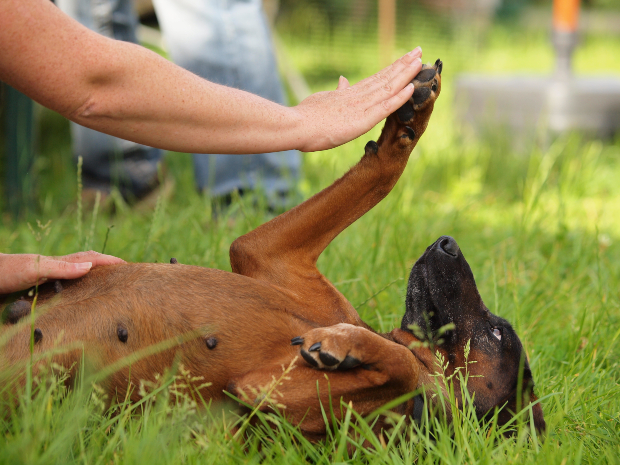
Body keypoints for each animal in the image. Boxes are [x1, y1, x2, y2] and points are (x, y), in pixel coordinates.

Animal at [0, 59, 544, 438]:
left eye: (496, 334)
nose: (448, 243)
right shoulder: (266, 253)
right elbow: (381, 173)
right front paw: (409, 115)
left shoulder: (273, 396)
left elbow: (406, 368)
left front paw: (347, 346)